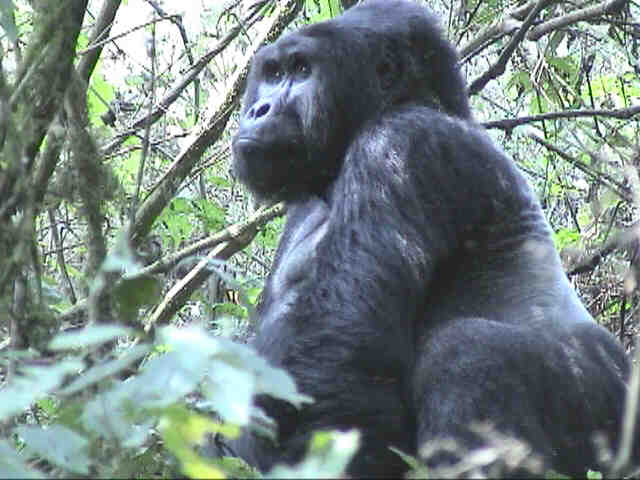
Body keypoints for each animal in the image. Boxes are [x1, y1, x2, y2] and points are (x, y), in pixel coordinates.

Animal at [226, 0, 636, 476]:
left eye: (301, 69)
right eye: (272, 73)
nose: (258, 110)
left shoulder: (400, 146)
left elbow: (340, 348)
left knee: (467, 351)